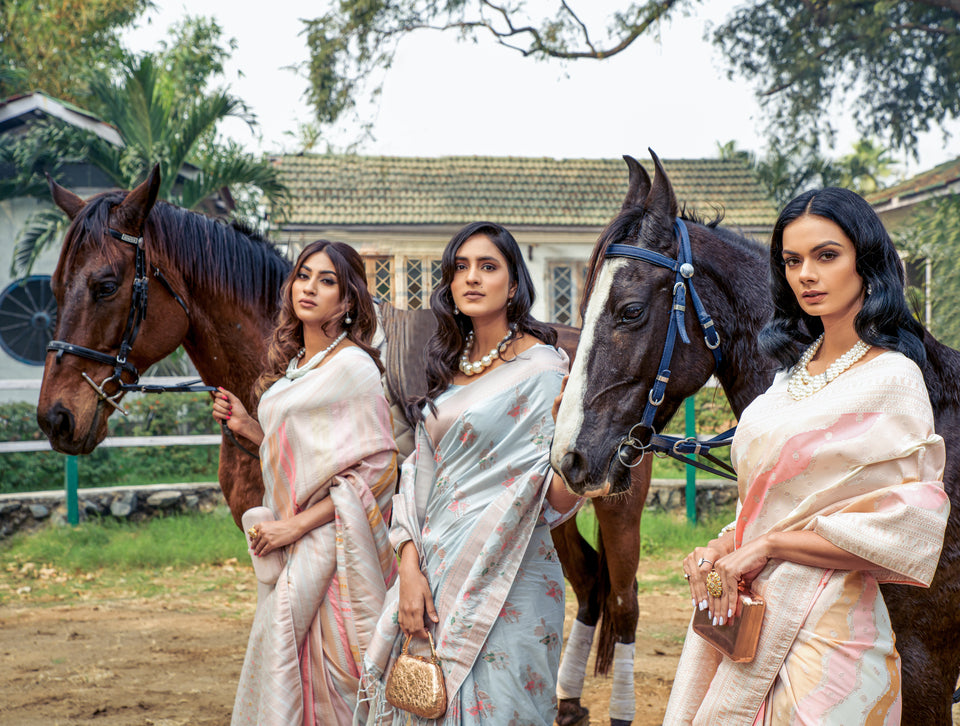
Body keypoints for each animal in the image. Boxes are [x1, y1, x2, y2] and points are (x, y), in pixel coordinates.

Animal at [37, 165, 652, 726]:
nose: (55, 417)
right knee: (588, 583)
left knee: (623, 602)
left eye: (106, 285)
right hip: (551, 509)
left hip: (615, 504)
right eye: (54, 288)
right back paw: (566, 704)